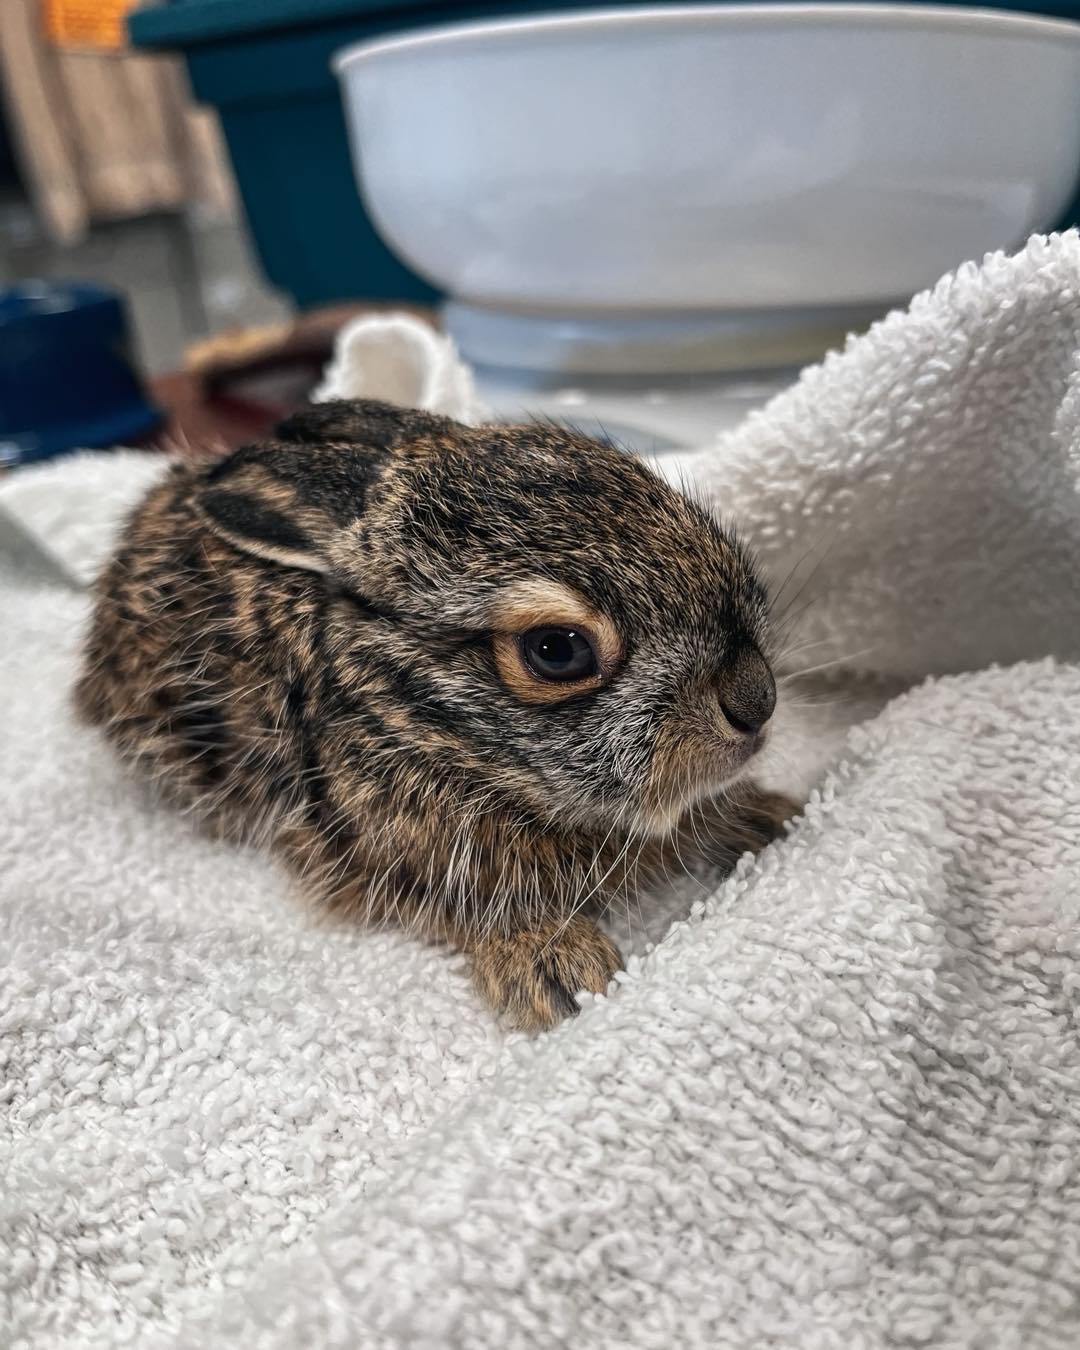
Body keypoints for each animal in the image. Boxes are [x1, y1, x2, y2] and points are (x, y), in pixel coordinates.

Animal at [75, 399, 796, 1029]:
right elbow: (468, 908)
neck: (412, 715)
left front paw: (768, 816)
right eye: (556, 651)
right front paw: (553, 965)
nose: (756, 700)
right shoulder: (380, 851)